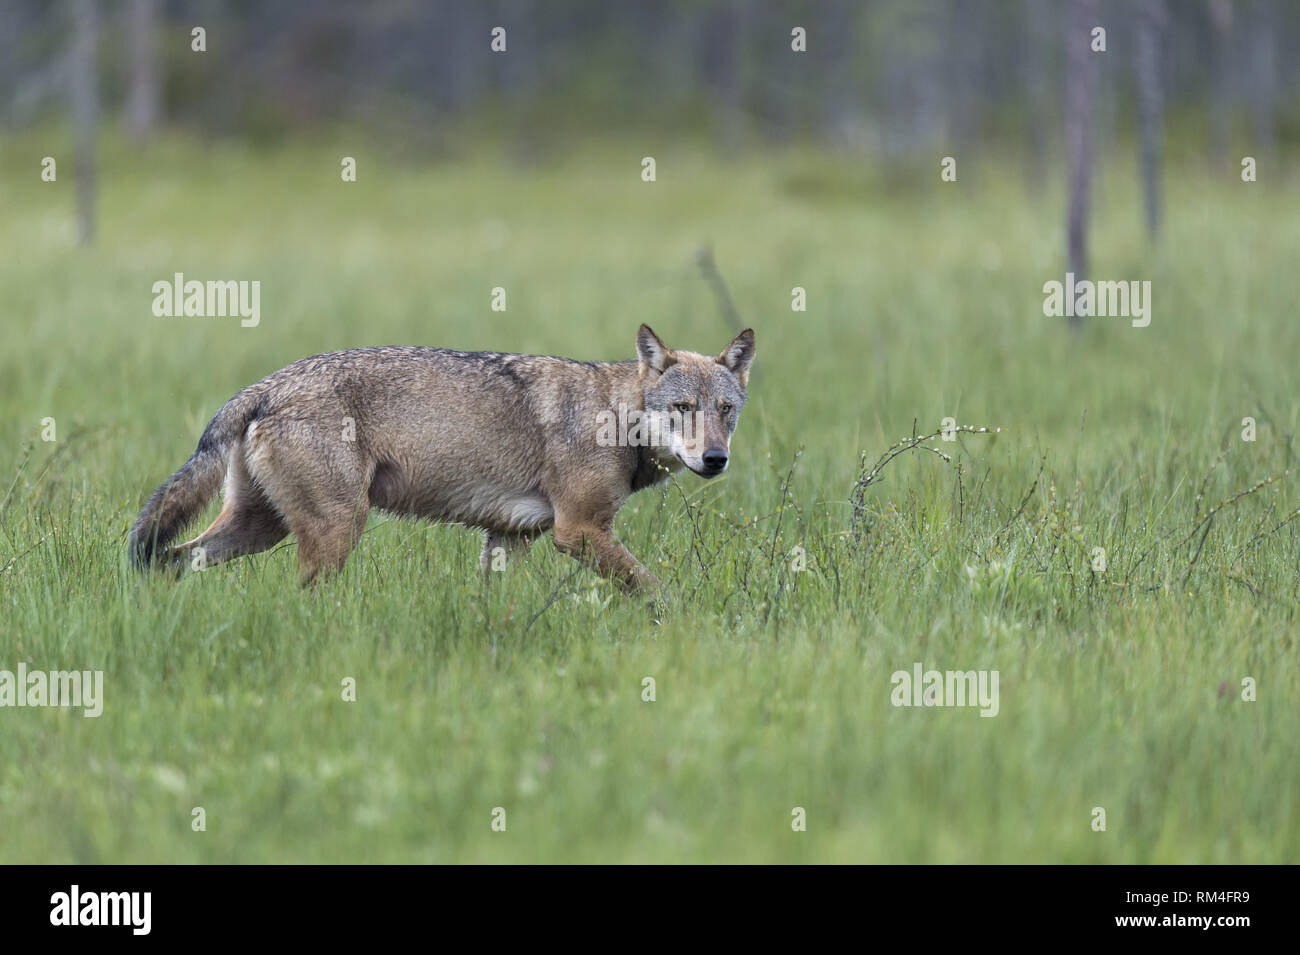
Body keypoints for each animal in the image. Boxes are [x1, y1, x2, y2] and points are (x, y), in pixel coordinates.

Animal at [126, 327, 759, 589]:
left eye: (726, 410)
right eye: (682, 408)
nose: (715, 459)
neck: (614, 415)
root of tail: (262, 387)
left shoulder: (510, 538)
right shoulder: (577, 531)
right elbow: (658, 592)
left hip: (259, 530)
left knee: (171, 561)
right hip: (335, 531)